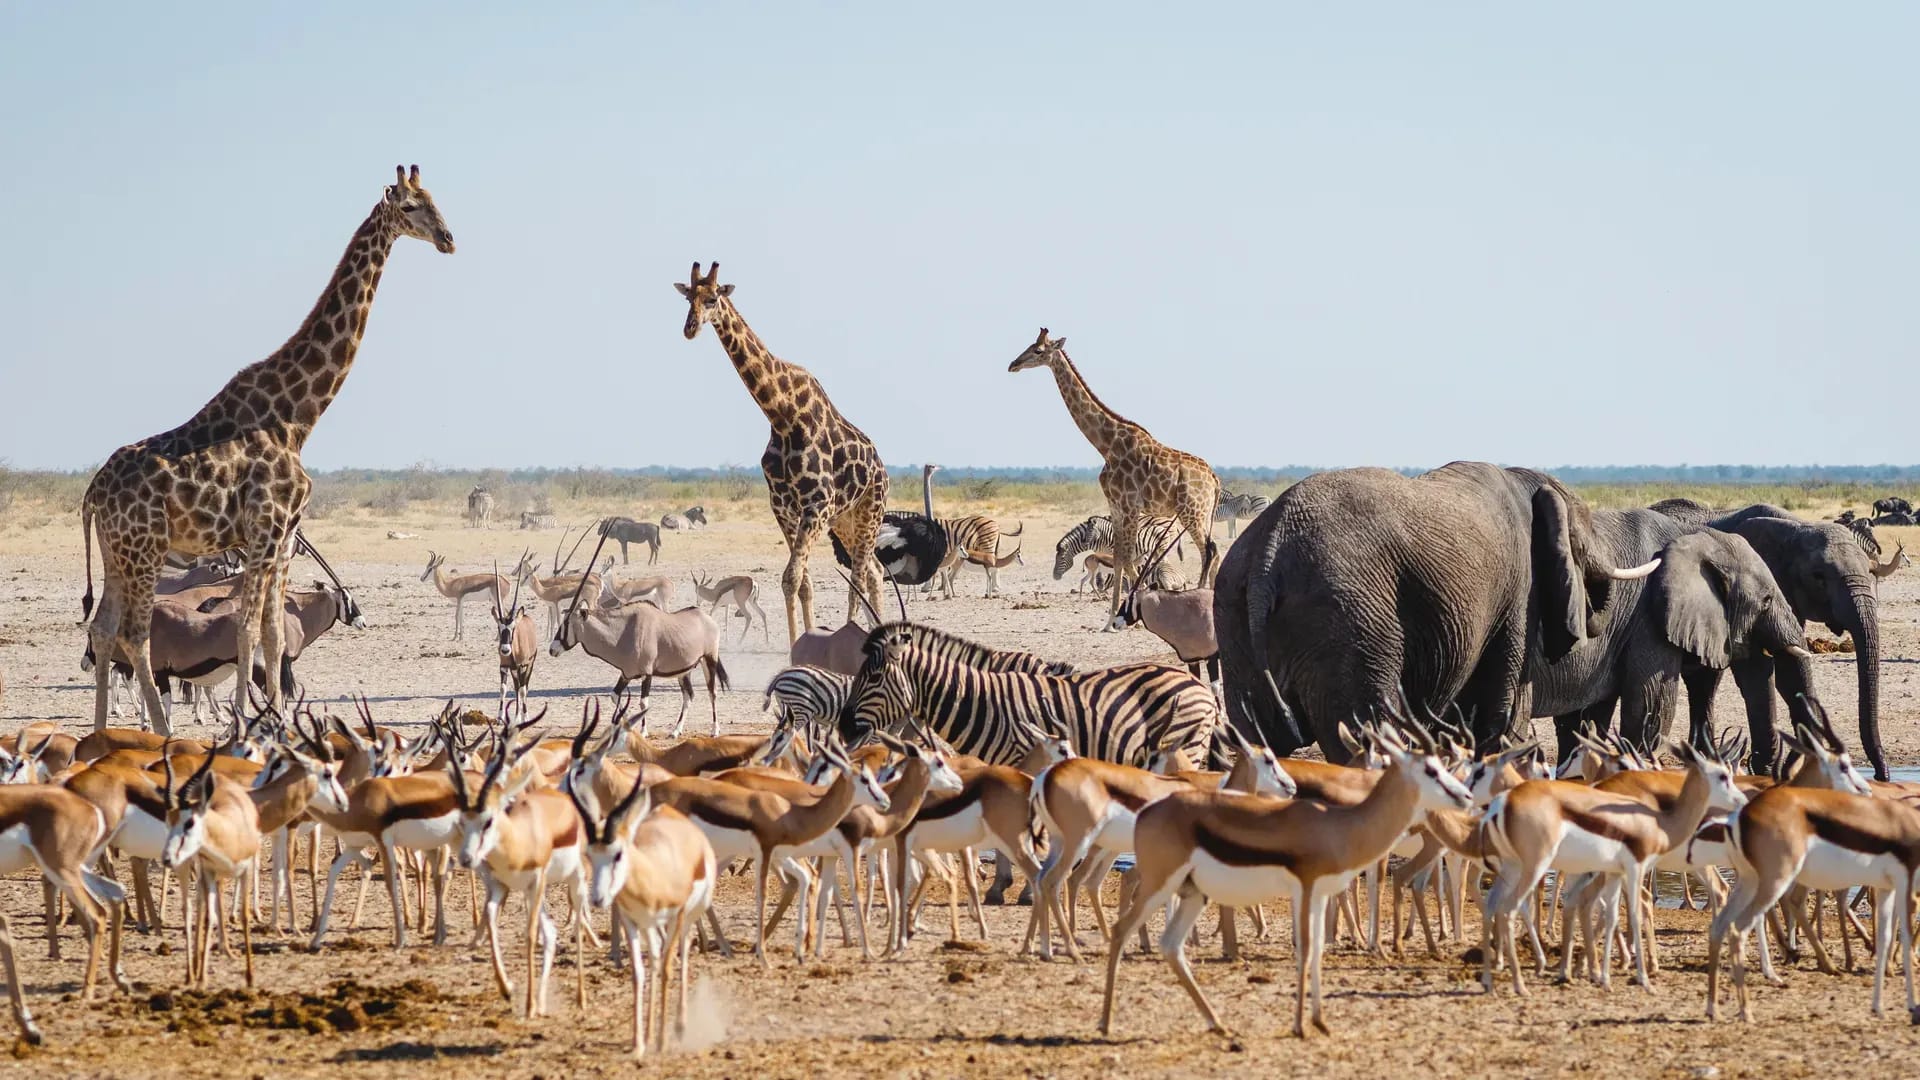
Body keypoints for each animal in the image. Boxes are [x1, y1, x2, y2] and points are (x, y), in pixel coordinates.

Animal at [81, 165, 456, 735]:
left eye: (436, 199)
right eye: (411, 207)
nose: (448, 239)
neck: (297, 416)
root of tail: (93, 492)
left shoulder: (283, 538)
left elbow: (275, 634)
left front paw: (276, 722)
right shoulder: (265, 531)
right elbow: (247, 632)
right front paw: (243, 723)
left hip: (115, 551)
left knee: (102, 628)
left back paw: (102, 732)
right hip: (145, 550)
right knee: (135, 635)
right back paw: (161, 731)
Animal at [675, 262, 888, 643]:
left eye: (713, 298)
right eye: (689, 298)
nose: (690, 328)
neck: (783, 416)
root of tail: (883, 469)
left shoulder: (816, 506)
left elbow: (792, 577)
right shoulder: (784, 509)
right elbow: (800, 583)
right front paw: (798, 642)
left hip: (870, 511)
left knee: (860, 576)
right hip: (846, 521)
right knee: (875, 571)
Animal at [1009, 327, 1221, 629]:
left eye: (1038, 350)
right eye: (1028, 345)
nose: (1012, 364)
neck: (1106, 445)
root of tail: (1214, 479)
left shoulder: (1130, 505)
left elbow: (1130, 561)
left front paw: (1134, 615)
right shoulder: (1116, 506)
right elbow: (1120, 558)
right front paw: (1109, 620)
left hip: (1193, 511)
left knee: (1209, 551)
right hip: (1201, 513)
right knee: (1213, 551)